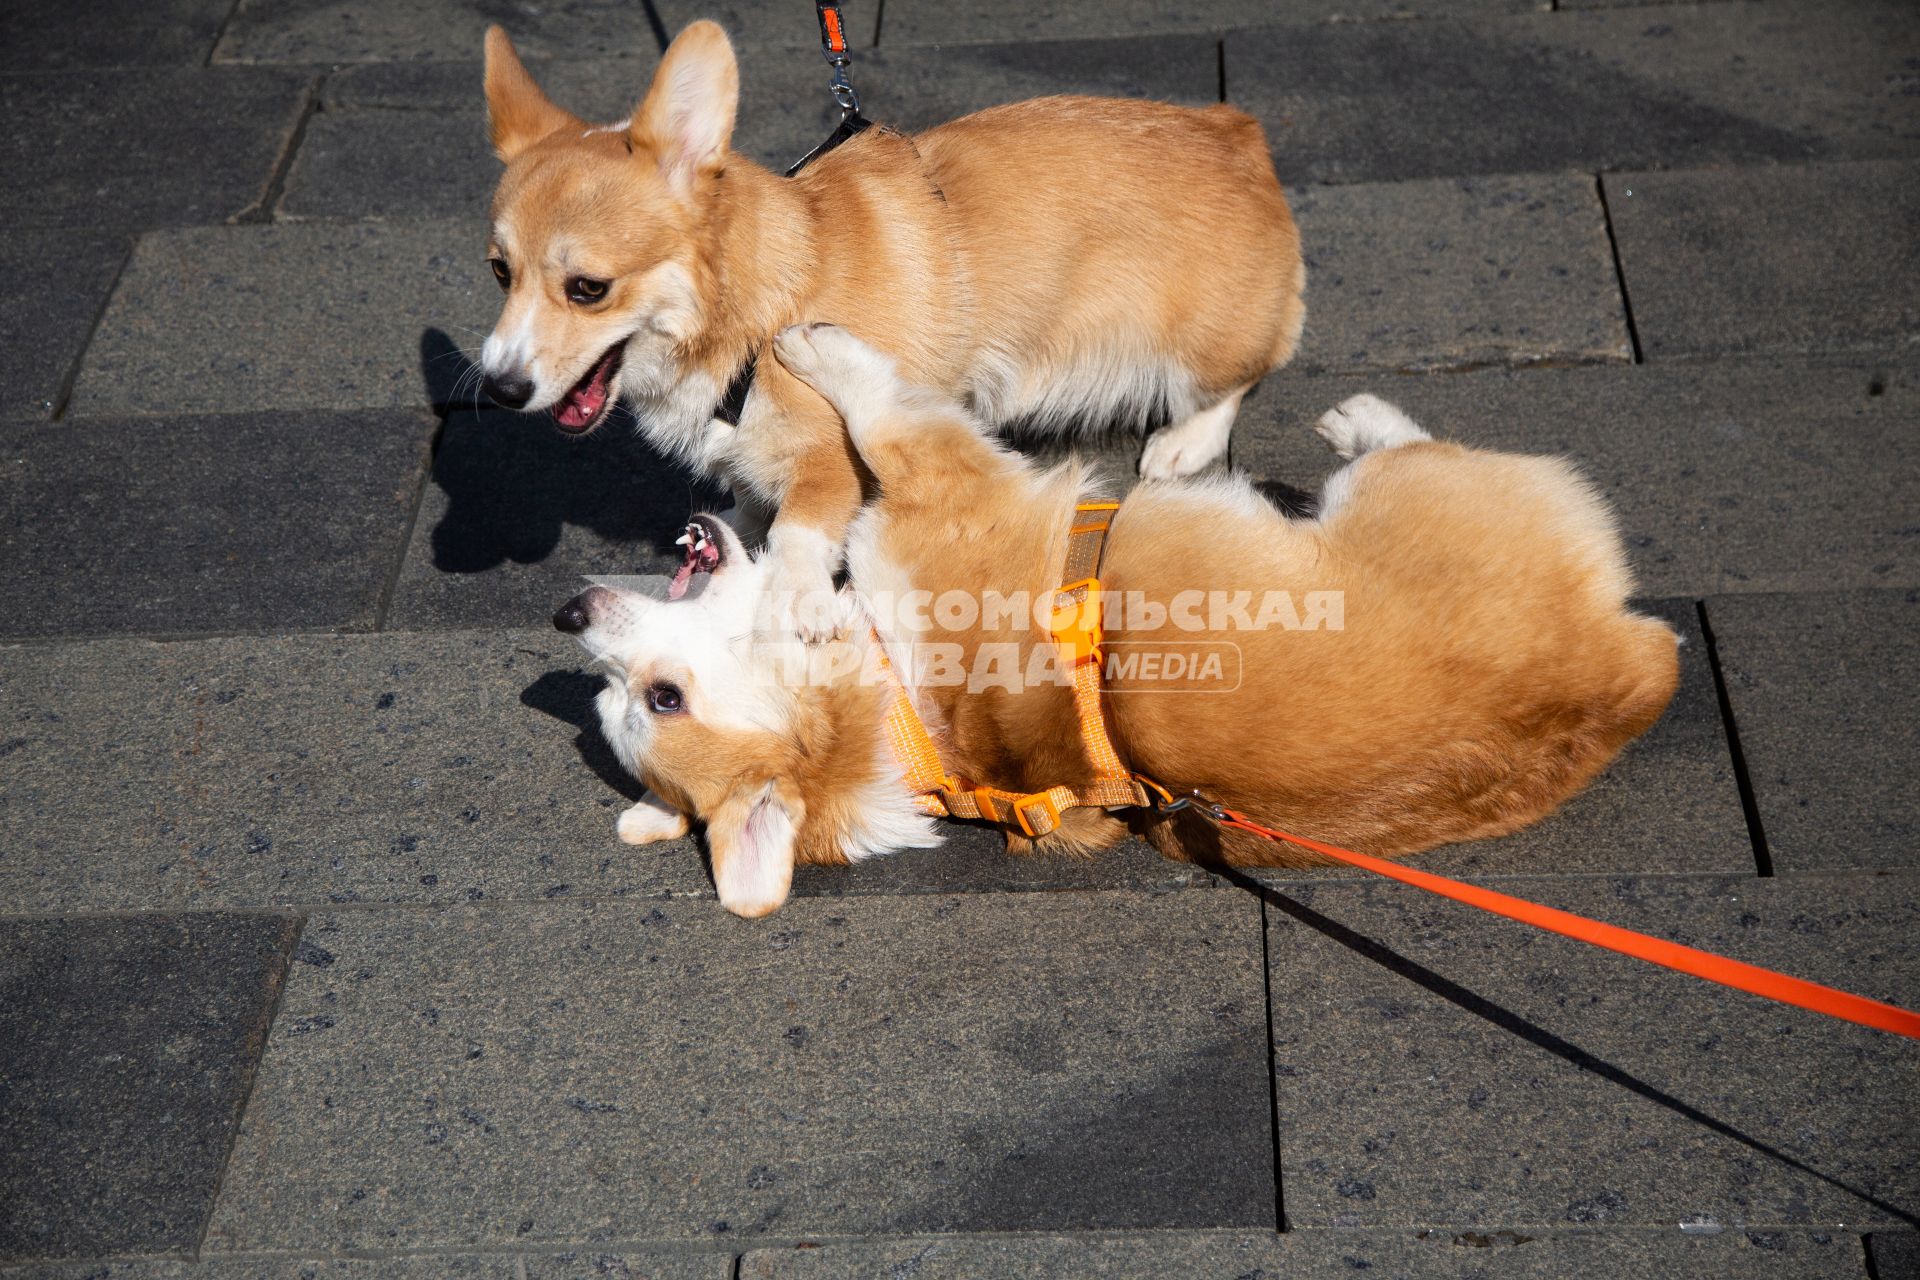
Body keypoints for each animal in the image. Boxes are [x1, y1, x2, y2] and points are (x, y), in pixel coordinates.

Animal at [483, 20, 1305, 637]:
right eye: (499, 272)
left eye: (588, 289)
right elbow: (751, 498)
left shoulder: (833, 453)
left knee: (1236, 378)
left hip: (1201, 343)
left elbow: (801, 527)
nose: (497, 389)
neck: (761, 306)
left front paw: (793, 593)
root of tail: (1237, 132)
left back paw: (1182, 444)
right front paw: (736, 527)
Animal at [556, 326, 1681, 917]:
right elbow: (881, 411)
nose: (570, 611)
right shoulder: (946, 479)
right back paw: (1358, 418)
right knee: (1401, 445)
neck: (893, 705)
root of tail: (1633, 667)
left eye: (654, 696)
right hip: (1404, 491)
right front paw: (816, 348)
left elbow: (860, 430)